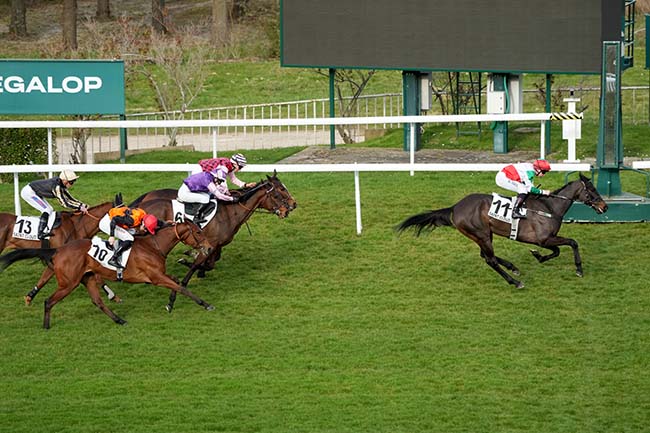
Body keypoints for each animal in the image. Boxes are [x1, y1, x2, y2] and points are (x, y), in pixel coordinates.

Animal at [0, 221, 213, 330]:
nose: (209, 248)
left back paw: (120, 320)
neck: (154, 245)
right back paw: (45, 326)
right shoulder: (155, 277)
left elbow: (177, 283)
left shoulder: (160, 274)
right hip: (69, 283)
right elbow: (181, 287)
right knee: (49, 301)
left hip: (88, 278)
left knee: (98, 302)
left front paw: (170, 303)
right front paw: (205, 304)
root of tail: (58, 250)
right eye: (197, 232)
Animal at [394, 174, 608, 288]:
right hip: (481, 234)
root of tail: (455, 207)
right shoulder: (544, 238)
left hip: (483, 235)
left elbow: (555, 251)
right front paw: (579, 269)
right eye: (592, 190)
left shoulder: (545, 240)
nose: (605, 207)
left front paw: (538, 256)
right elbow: (572, 242)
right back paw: (515, 281)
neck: (550, 207)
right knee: (490, 260)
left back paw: (513, 267)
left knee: (486, 256)